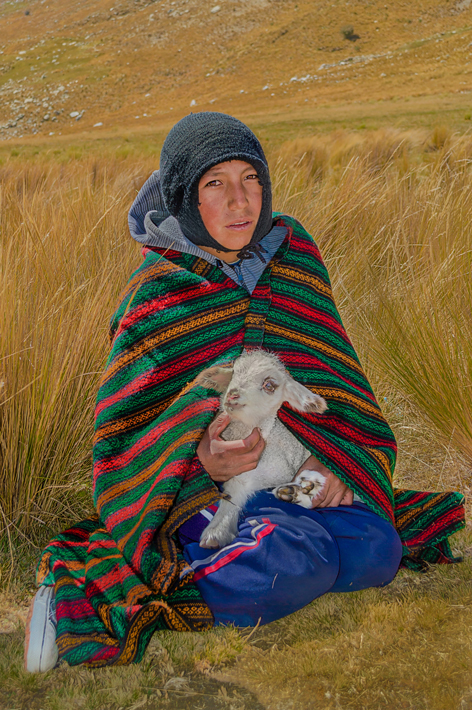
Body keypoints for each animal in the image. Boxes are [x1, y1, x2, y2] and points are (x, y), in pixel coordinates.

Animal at [197, 350, 330, 552]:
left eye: (269, 385)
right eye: (234, 372)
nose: (232, 395)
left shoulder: (277, 469)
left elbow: (235, 487)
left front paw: (215, 531)